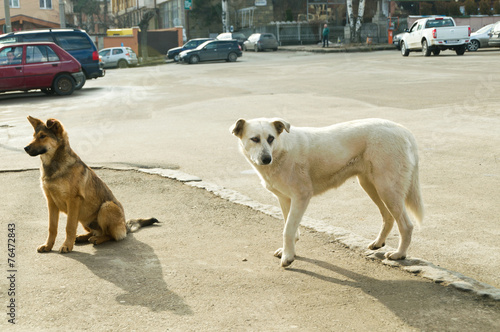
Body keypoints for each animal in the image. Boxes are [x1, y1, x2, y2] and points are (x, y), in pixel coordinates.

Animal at [24, 115, 158, 253]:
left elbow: (69, 227)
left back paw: (98, 239)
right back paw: (83, 237)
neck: (54, 164)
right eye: (34, 136)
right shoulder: (51, 203)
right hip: (84, 218)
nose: (25, 148)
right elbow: (52, 228)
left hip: (106, 207)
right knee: (94, 231)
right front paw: (48, 245)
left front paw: (67, 245)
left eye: (42, 136)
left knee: (110, 235)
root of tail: (125, 227)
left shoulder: (73, 201)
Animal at [230, 117, 422, 268]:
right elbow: (289, 227)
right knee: (388, 217)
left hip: (387, 188)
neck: (281, 150)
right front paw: (288, 251)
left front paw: (288, 257)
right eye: (254, 139)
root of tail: (403, 130)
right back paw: (378, 243)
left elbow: (288, 229)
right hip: (371, 186)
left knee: (406, 225)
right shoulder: (285, 199)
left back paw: (399, 254)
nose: (266, 159)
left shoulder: (301, 197)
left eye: (270, 138)